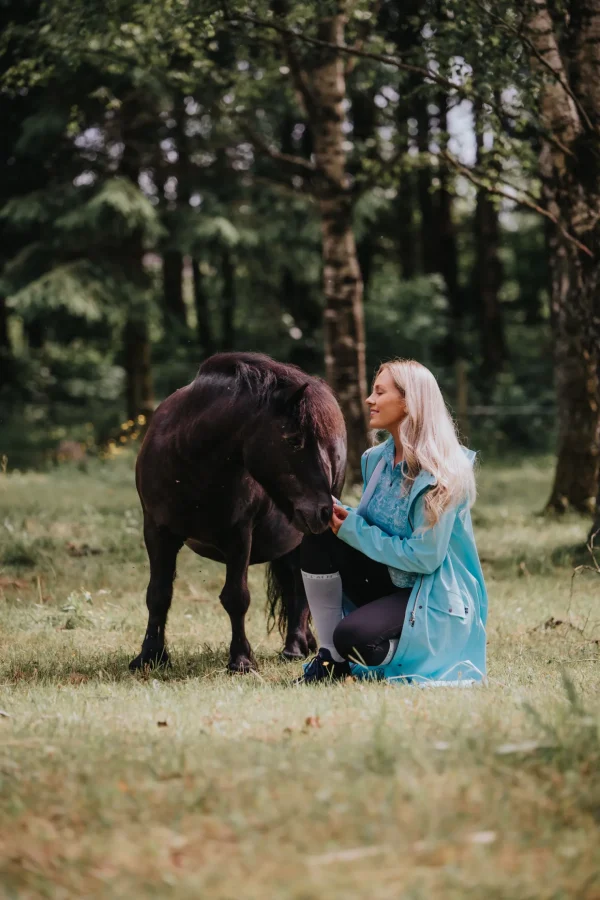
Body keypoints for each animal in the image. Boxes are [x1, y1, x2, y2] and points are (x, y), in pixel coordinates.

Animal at [131, 348, 346, 672]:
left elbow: (236, 597)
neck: (189, 464)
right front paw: (150, 656)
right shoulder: (157, 531)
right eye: (294, 440)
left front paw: (241, 660)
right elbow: (158, 594)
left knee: (301, 588)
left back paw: (294, 647)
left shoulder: (239, 536)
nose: (324, 510)